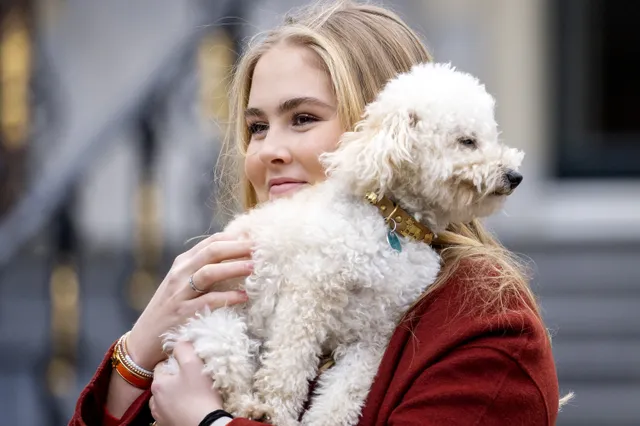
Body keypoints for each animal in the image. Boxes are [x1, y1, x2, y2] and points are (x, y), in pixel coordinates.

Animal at [161, 63, 524, 426]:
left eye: (492, 136)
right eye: (468, 141)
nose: (515, 176)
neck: (393, 224)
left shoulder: (376, 330)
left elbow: (345, 390)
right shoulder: (309, 297)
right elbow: (287, 366)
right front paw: (278, 412)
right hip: (218, 328)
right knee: (229, 377)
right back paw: (253, 407)